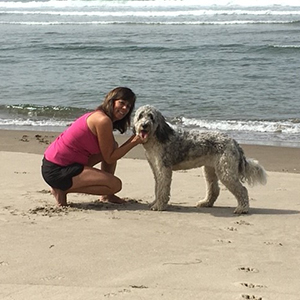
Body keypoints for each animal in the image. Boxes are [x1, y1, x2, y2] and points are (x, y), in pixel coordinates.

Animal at [134, 105, 268, 213]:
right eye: (140, 116)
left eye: (151, 117)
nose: (144, 125)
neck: (157, 137)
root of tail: (234, 142)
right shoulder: (156, 169)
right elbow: (157, 187)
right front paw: (154, 202)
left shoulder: (164, 169)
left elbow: (162, 189)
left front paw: (159, 206)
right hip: (210, 170)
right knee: (214, 189)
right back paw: (206, 203)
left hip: (226, 172)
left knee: (242, 190)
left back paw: (242, 208)